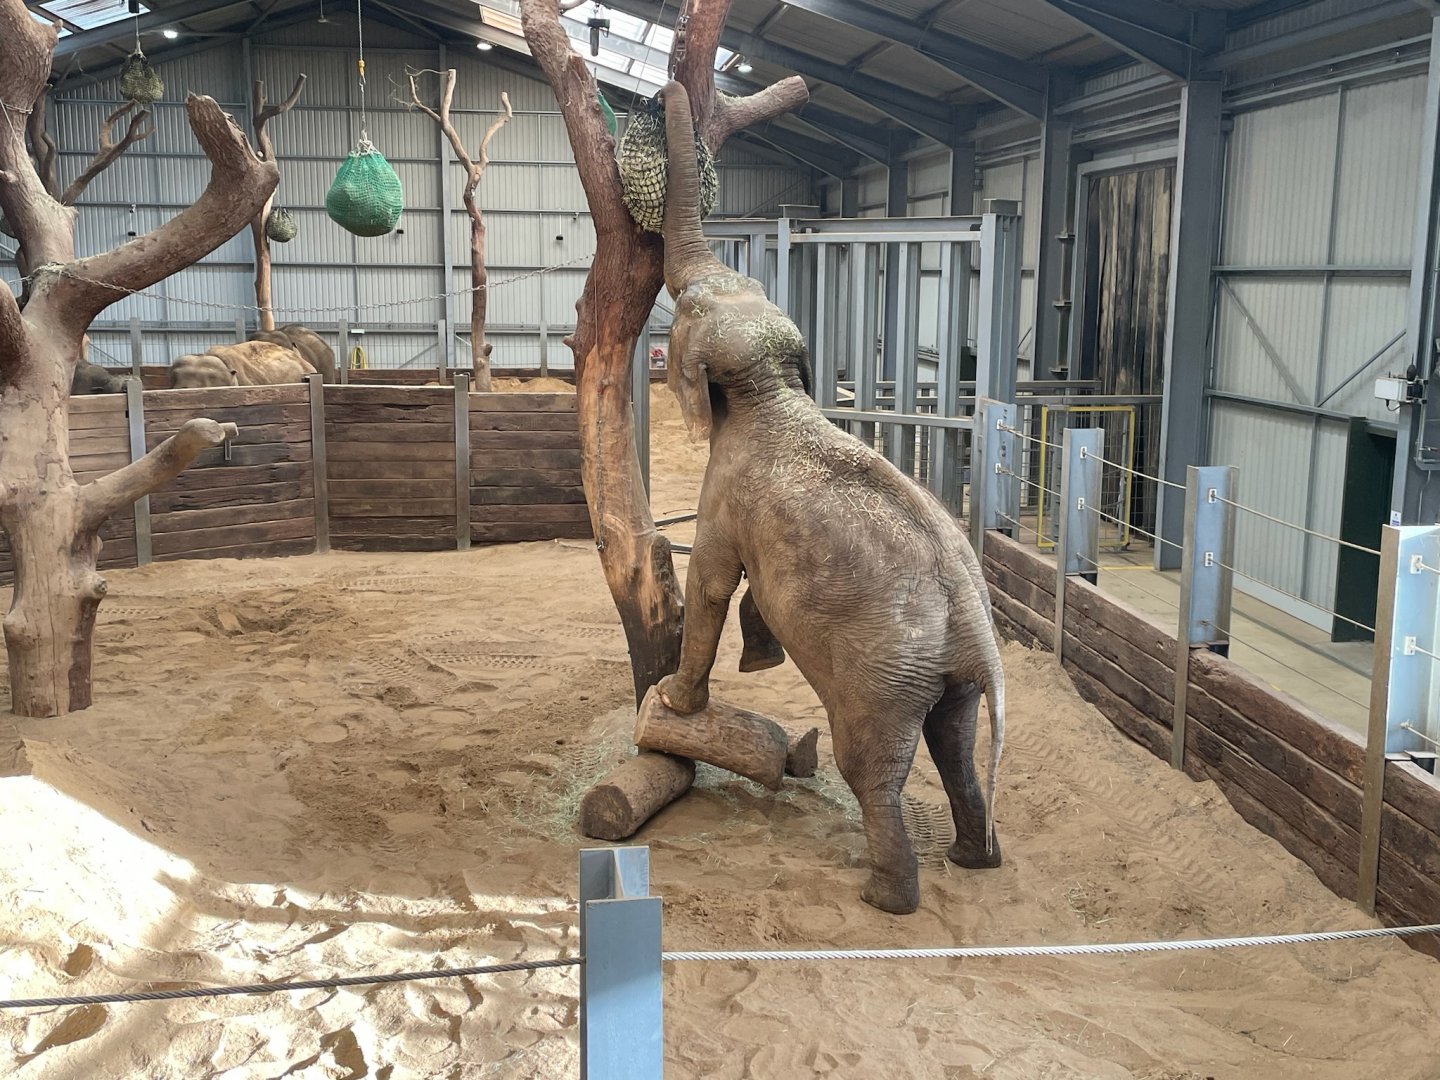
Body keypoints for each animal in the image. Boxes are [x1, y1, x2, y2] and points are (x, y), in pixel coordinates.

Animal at [650, 81, 1006, 915]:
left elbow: (710, 582)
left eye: (687, 303)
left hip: (882, 674)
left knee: (873, 766)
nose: (663, 94)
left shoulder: (724, 493)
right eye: (734, 290)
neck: (772, 388)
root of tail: (978, 631)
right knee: (955, 744)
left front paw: (675, 704)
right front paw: (757, 663)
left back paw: (884, 899)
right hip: (941, 677)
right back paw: (973, 862)